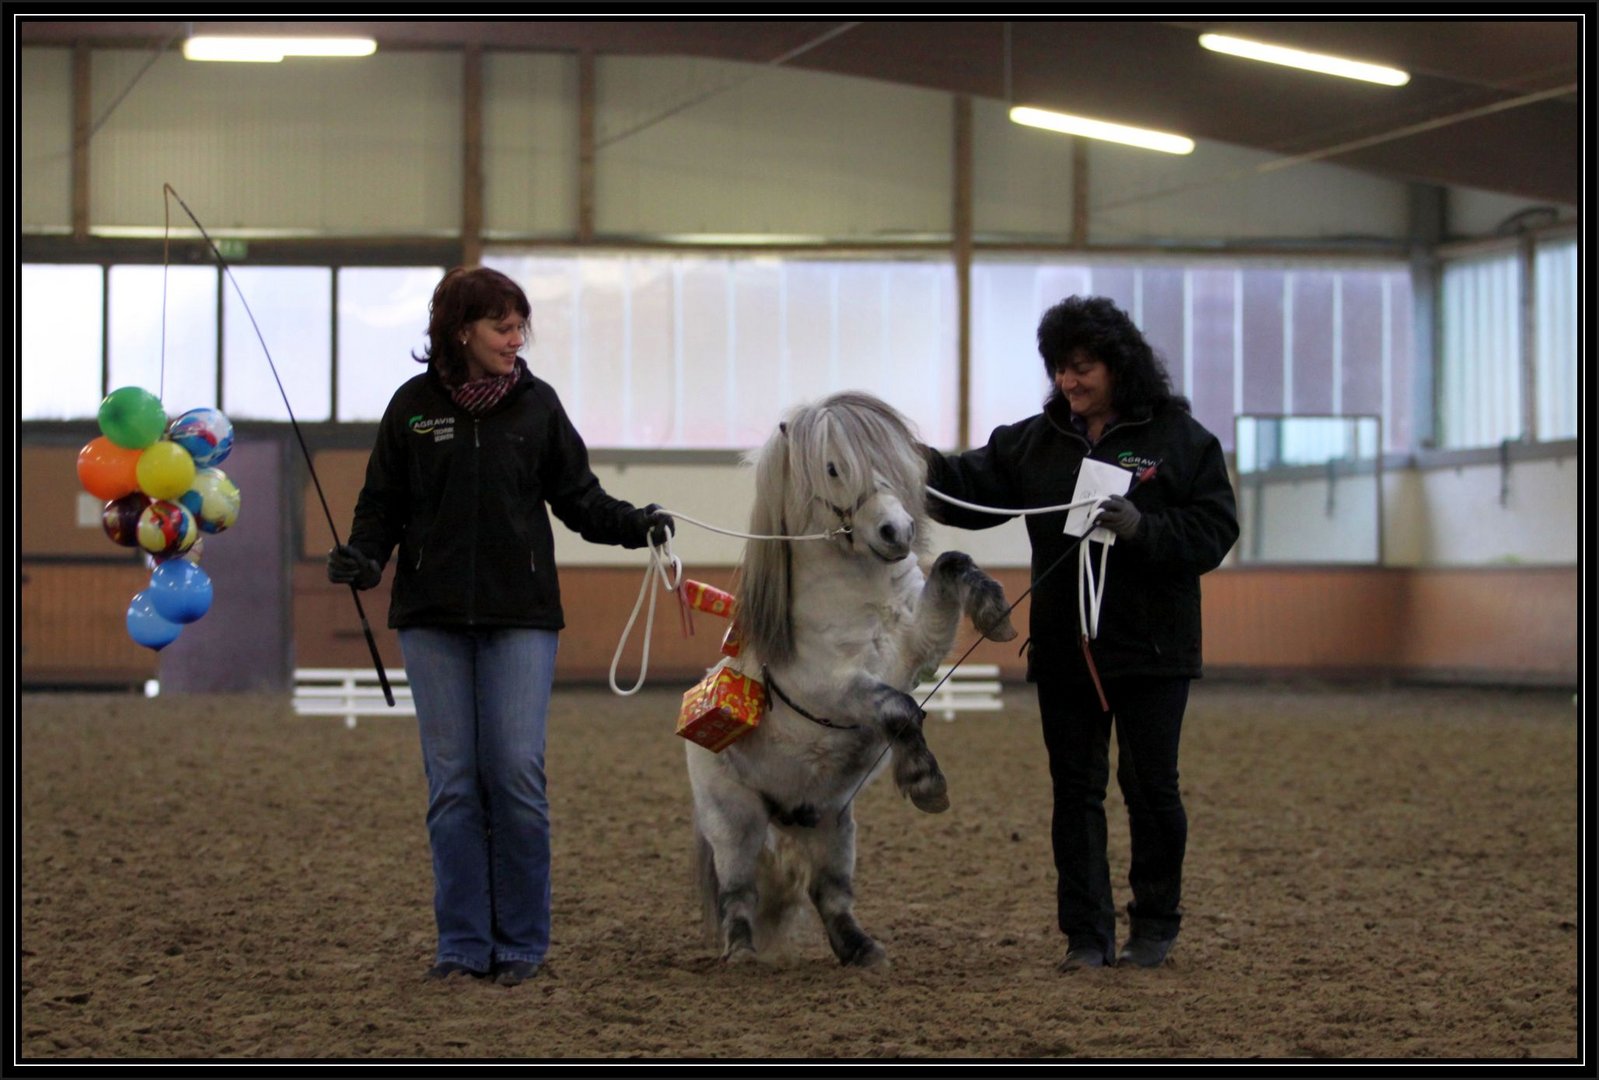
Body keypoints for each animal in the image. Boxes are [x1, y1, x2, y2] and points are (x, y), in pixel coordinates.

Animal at [684, 393, 1010, 966]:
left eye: (897, 462)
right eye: (834, 468)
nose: (896, 532)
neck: (863, 598)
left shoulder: (916, 644)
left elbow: (952, 565)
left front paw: (994, 612)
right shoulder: (834, 687)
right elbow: (899, 707)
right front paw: (925, 781)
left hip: (835, 824)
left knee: (828, 891)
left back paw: (863, 951)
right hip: (735, 821)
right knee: (738, 892)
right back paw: (742, 952)